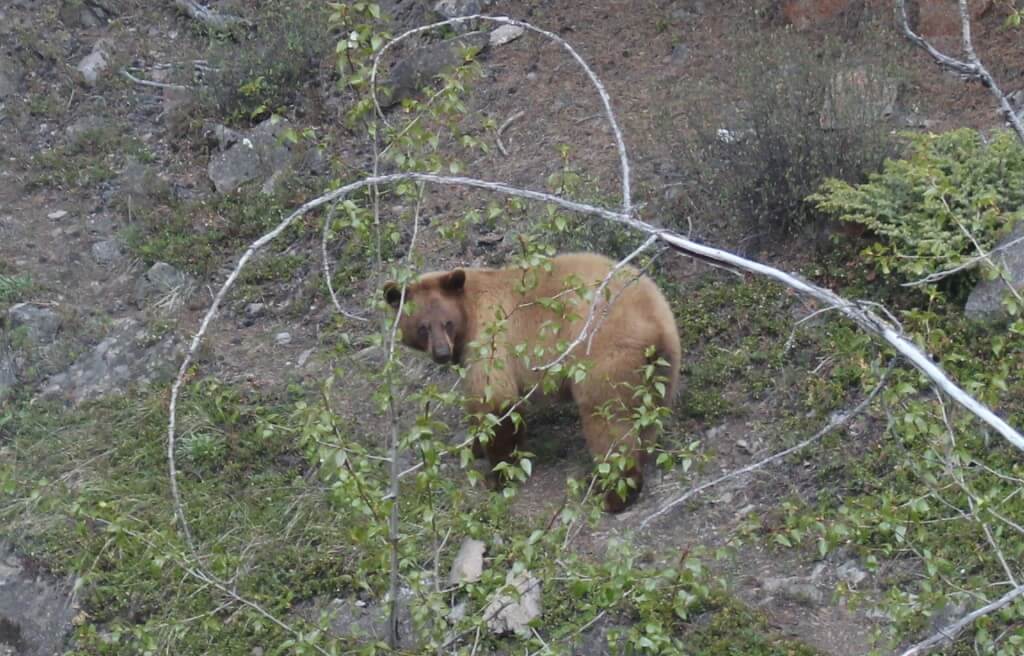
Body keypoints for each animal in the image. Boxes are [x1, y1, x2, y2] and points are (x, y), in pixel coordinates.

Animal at [384, 252, 681, 512]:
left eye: (446, 323)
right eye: (423, 327)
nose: (442, 353)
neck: (468, 313)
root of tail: (655, 324)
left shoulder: (491, 338)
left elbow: (496, 402)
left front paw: (499, 475)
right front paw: (476, 446)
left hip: (605, 358)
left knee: (609, 426)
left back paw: (613, 495)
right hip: (660, 371)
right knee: (646, 419)